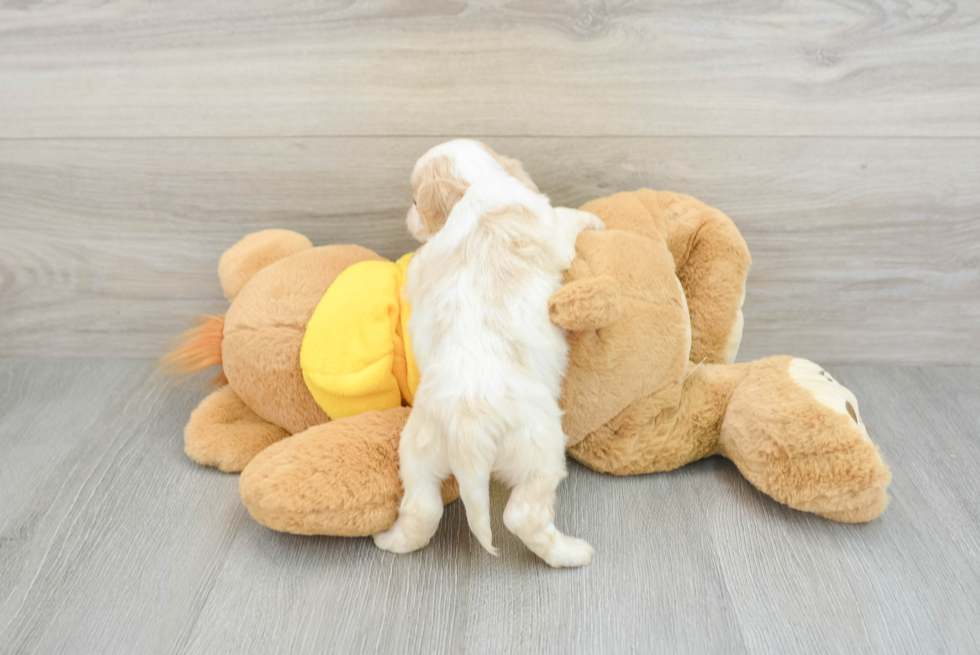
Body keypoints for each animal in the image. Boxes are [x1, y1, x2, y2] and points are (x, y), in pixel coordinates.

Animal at [376, 140, 604, 568]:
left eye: (415, 199)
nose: (408, 214)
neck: (473, 187)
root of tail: (467, 435)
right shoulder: (548, 225)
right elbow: (566, 219)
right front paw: (591, 218)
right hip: (541, 449)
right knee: (524, 516)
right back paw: (571, 553)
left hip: (417, 450)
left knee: (422, 508)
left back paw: (390, 541)